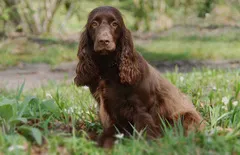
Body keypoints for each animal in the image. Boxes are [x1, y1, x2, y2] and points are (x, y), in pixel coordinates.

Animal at [74, 6, 203, 148]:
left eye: (115, 24)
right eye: (94, 24)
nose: (104, 41)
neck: (108, 67)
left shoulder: (140, 109)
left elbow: (143, 131)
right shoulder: (108, 110)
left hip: (187, 116)